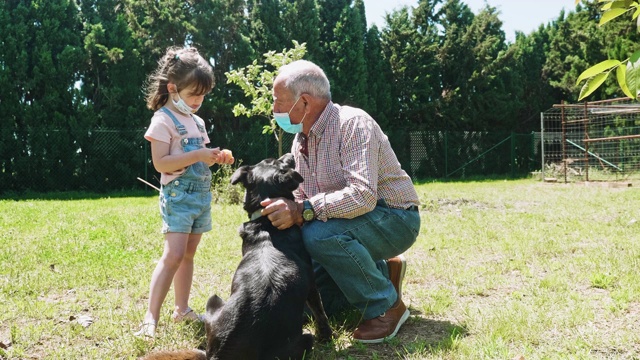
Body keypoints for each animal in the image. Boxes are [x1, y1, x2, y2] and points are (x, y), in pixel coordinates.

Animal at [144, 153, 330, 358]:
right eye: (274, 161)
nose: (290, 154)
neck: (266, 223)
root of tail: (217, 354)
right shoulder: (311, 284)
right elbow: (320, 311)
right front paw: (327, 337)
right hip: (303, 338)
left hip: (213, 300)